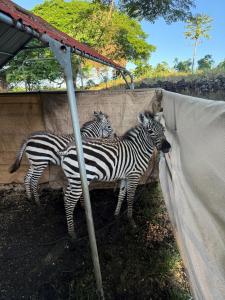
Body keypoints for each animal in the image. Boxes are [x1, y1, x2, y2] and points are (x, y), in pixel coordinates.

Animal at [59, 110, 171, 239]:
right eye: (150, 131)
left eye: (163, 129)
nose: (168, 147)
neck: (137, 150)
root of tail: (68, 149)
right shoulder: (134, 176)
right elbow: (130, 197)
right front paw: (131, 220)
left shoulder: (124, 177)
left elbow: (121, 195)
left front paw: (116, 214)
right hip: (78, 180)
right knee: (70, 201)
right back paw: (72, 233)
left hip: (72, 179)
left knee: (66, 197)